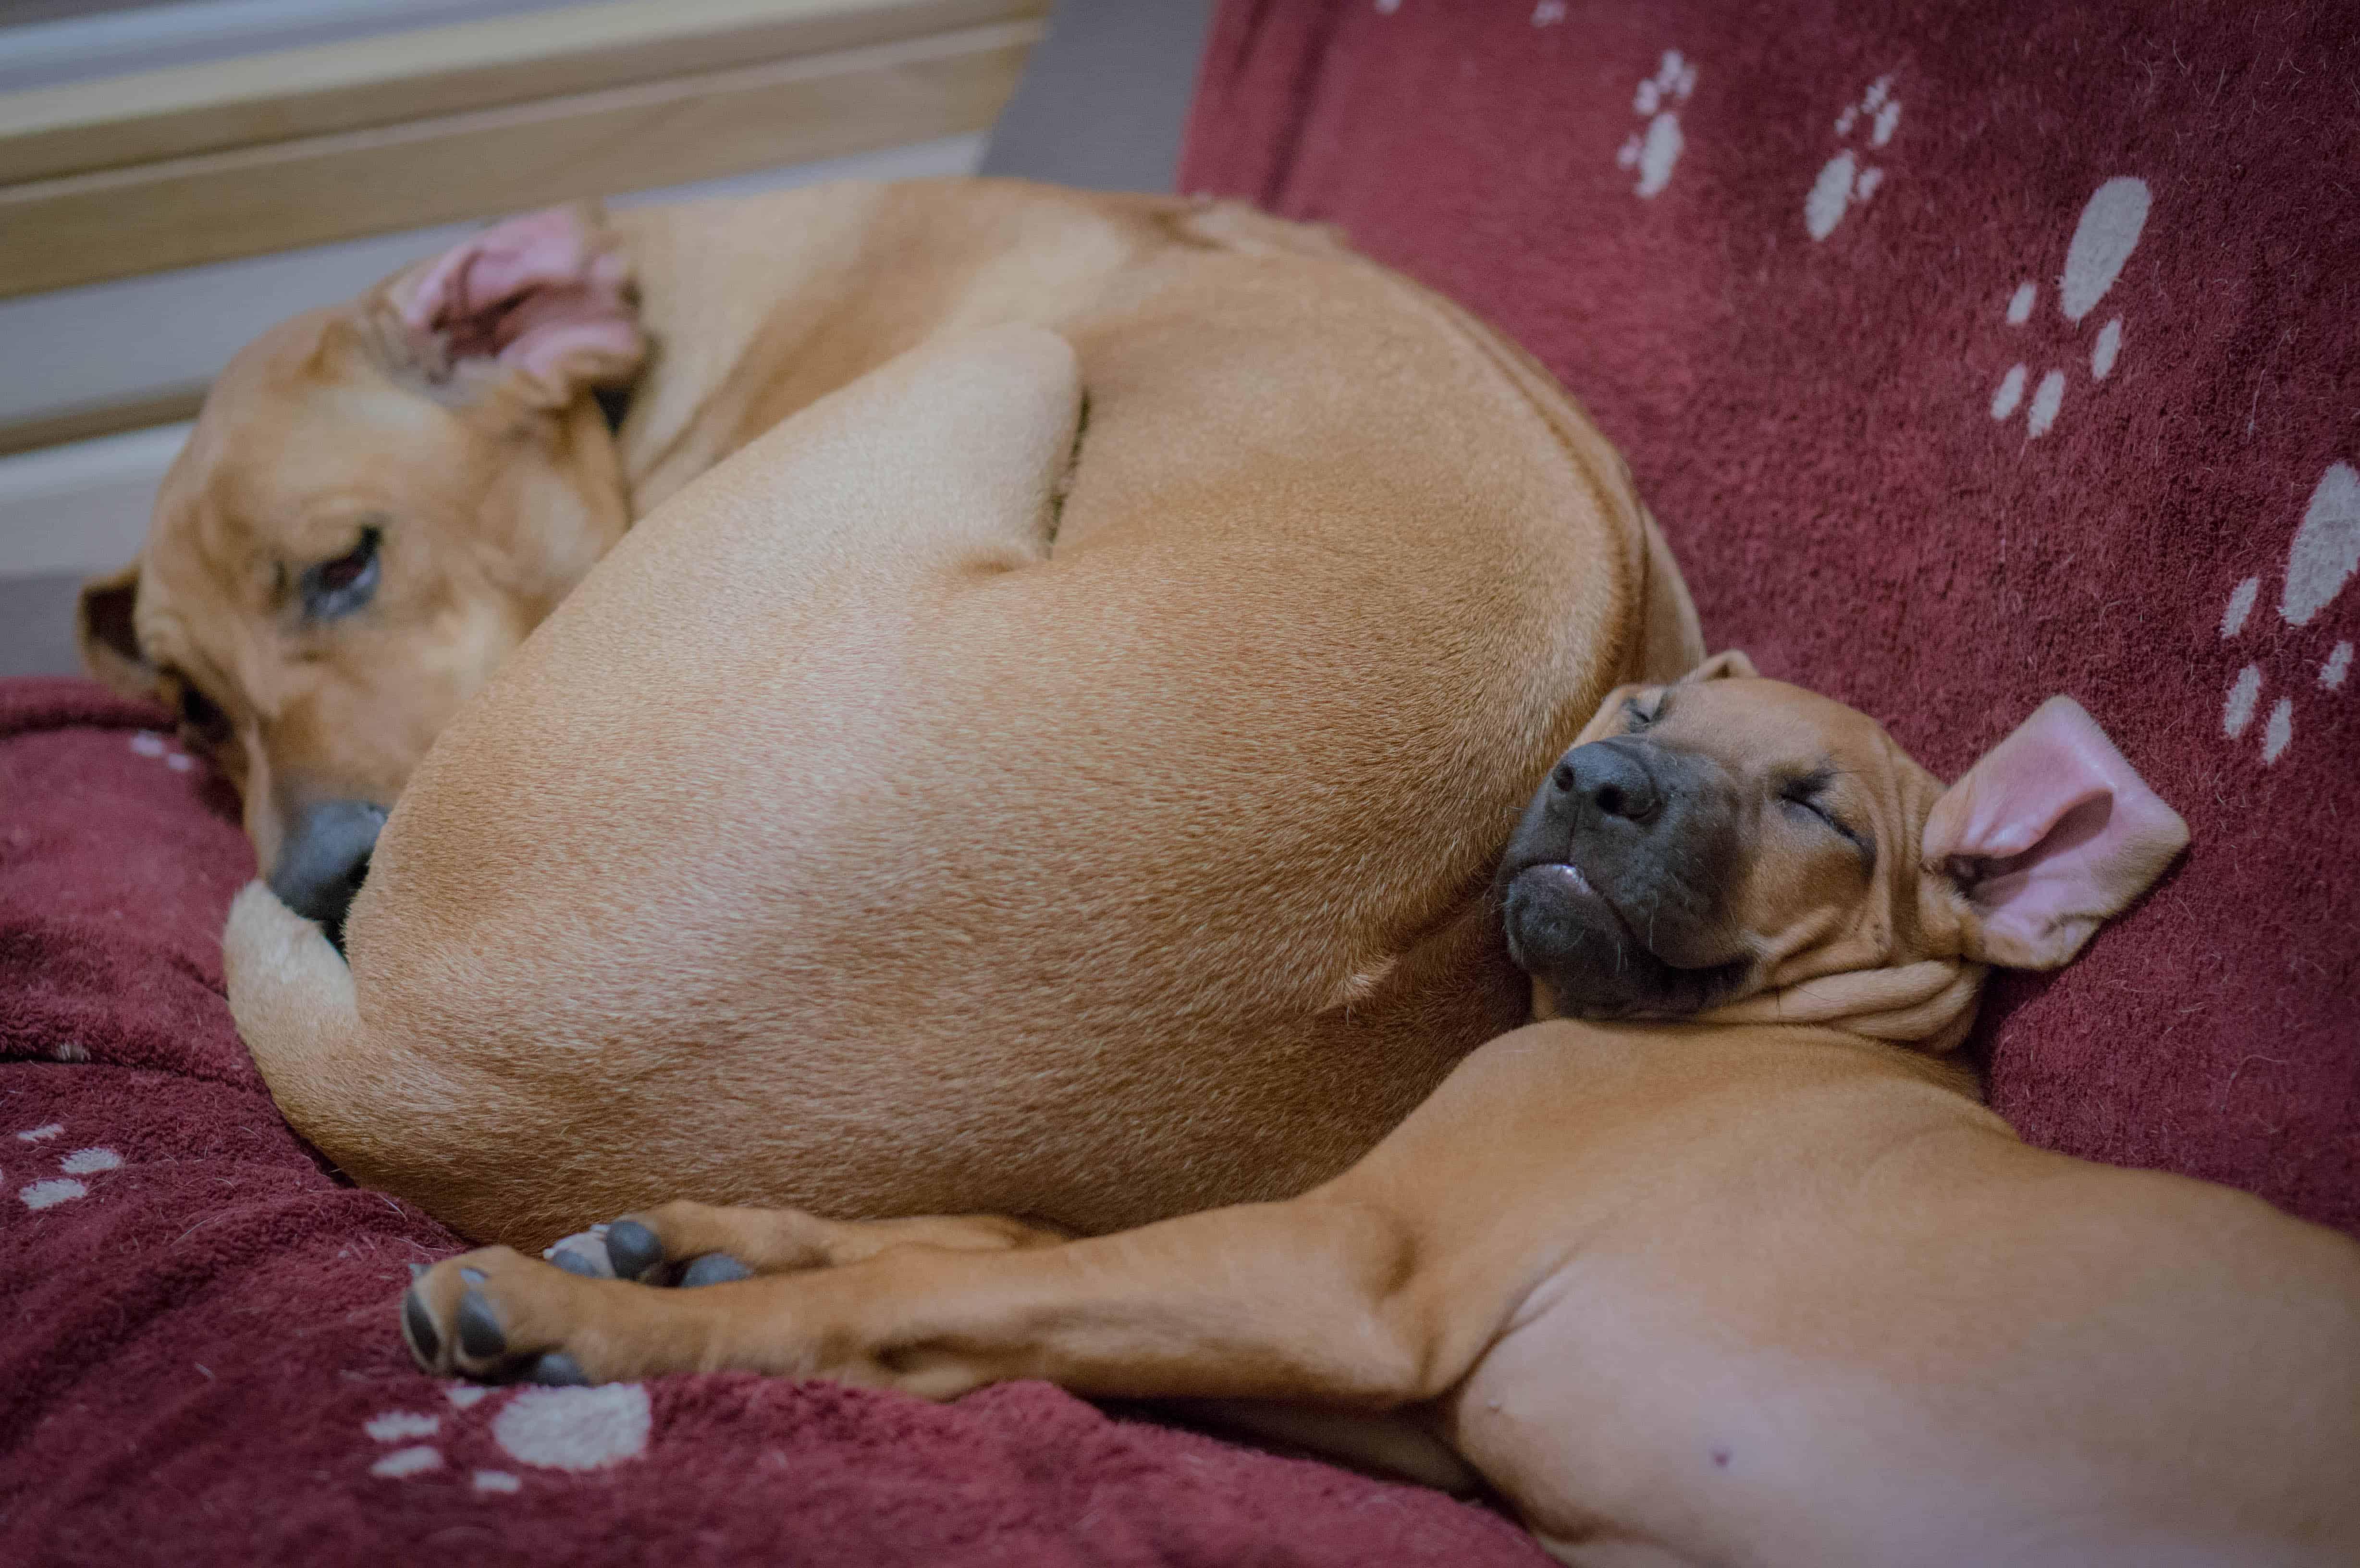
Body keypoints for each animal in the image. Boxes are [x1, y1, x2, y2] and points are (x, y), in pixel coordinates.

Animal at [406, 656, 2360, 1568]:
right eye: (1646, 702)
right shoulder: (1393, 1372)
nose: (1596, 775)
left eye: (1820, 809)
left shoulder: (1348, 1273)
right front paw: (695, 1237)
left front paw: (591, 1315)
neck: (1800, 1033)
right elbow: (993, 1239)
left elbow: (918, 1291)